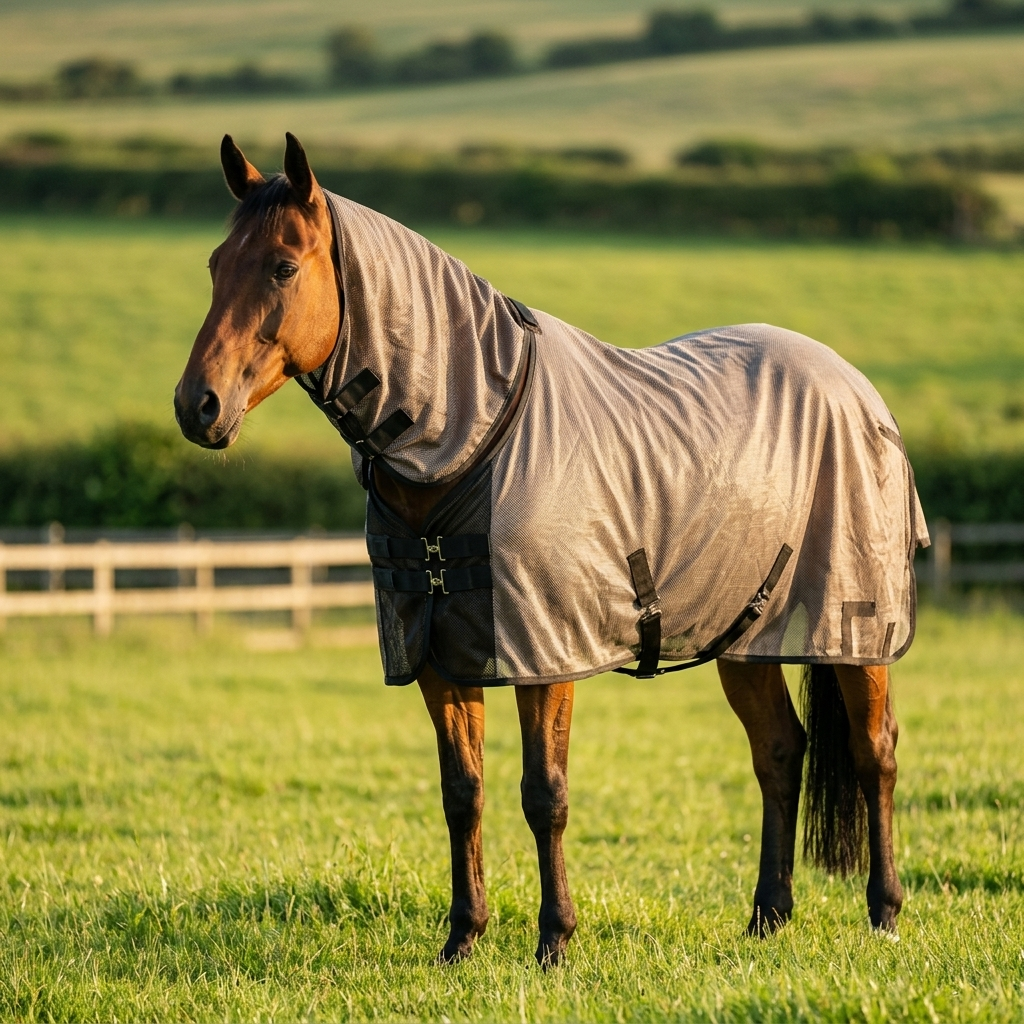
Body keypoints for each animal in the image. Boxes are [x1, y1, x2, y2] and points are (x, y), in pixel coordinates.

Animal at [175, 133, 925, 966]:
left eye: (282, 266)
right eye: (215, 263)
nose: (197, 406)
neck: (474, 435)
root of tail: (855, 387)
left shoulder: (544, 655)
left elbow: (545, 795)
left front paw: (554, 940)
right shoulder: (439, 654)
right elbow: (462, 793)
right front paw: (462, 938)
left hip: (854, 630)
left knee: (874, 753)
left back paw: (885, 912)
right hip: (743, 636)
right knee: (780, 752)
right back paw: (768, 914)